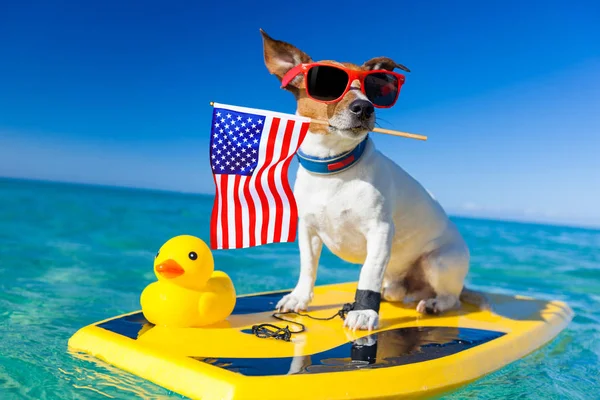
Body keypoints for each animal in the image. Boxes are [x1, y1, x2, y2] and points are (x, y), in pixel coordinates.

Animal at [258, 28, 482, 332]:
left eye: (374, 88)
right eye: (329, 84)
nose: (364, 108)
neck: (334, 168)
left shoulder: (380, 231)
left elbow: (369, 272)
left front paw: (364, 312)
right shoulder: (308, 230)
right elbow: (308, 267)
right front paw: (299, 297)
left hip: (438, 261)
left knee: (451, 298)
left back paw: (434, 304)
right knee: (398, 290)